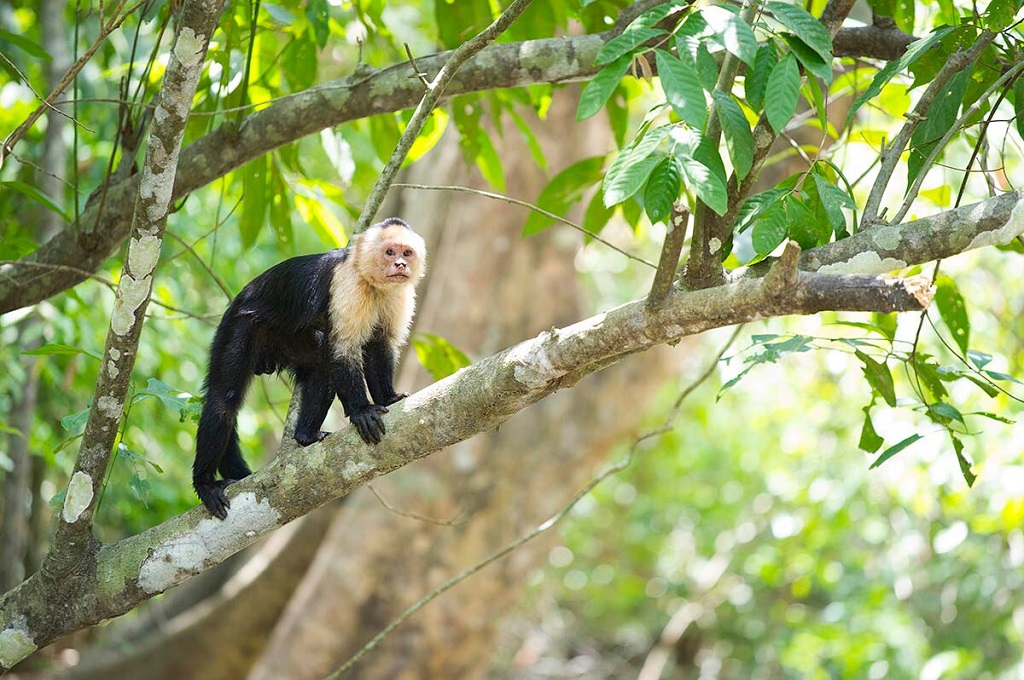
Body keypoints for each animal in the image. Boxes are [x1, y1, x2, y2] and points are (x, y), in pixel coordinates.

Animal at [193, 218, 425, 520]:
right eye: (389, 252)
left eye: (407, 253)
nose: (400, 264)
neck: (372, 282)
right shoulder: (347, 285)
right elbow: (343, 349)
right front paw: (362, 410)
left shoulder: (398, 294)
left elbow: (379, 345)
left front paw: (388, 397)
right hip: (239, 326)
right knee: (224, 399)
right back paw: (205, 483)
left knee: (321, 368)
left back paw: (305, 435)